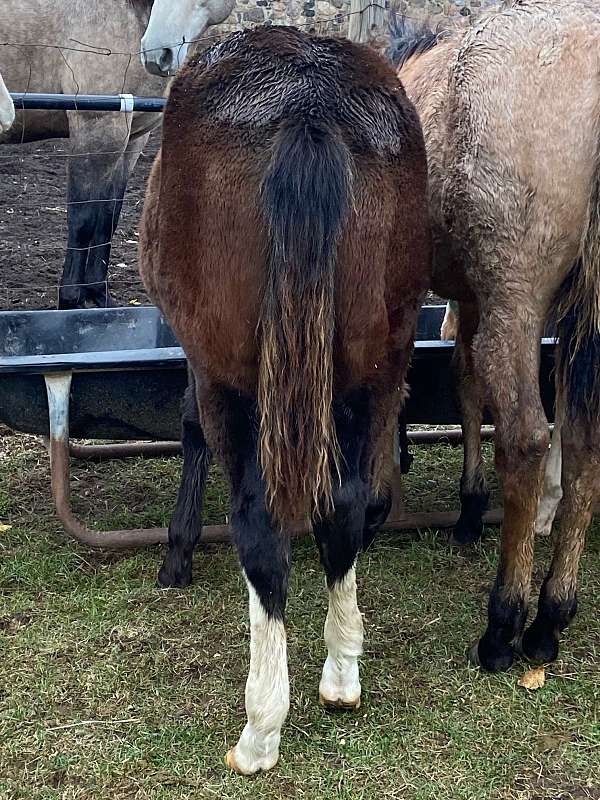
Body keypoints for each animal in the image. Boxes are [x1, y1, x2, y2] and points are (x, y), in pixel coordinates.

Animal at [0, 0, 233, 308]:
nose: (157, 52)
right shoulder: (96, 129)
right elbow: (83, 216)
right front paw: (70, 298)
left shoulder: (132, 139)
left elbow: (108, 215)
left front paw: (98, 294)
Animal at [139, 23, 430, 774]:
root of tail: (308, 102)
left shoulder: (201, 362)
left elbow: (190, 428)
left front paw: (177, 555)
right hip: (373, 363)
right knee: (345, 506)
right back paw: (341, 674)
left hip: (236, 378)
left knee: (262, 527)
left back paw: (260, 726)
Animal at [391, 0, 600, 673]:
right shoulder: (471, 296)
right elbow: (465, 384)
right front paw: (467, 508)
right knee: (582, 446)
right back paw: (551, 617)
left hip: (518, 297)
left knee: (528, 438)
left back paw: (505, 621)